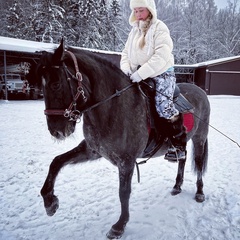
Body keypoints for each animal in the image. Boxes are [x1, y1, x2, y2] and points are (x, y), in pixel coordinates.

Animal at [28, 40, 210, 239]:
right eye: (41, 87)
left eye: (56, 84)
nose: (57, 131)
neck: (113, 106)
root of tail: (200, 91)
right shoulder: (92, 151)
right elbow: (57, 161)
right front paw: (49, 201)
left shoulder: (127, 161)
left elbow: (124, 193)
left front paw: (119, 226)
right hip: (183, 143)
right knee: (182, 159)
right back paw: (177, 186)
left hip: (200, 139)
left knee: (198, 163)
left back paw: (200, 193)